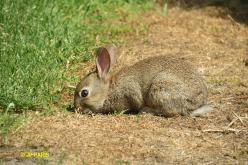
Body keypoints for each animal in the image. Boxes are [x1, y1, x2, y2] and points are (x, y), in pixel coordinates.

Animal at [73, 44, 211, 116]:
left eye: (84, 93)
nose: (76, 108)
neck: (109, 90)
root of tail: (197, 104)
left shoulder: (130, 93)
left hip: (160, 89)